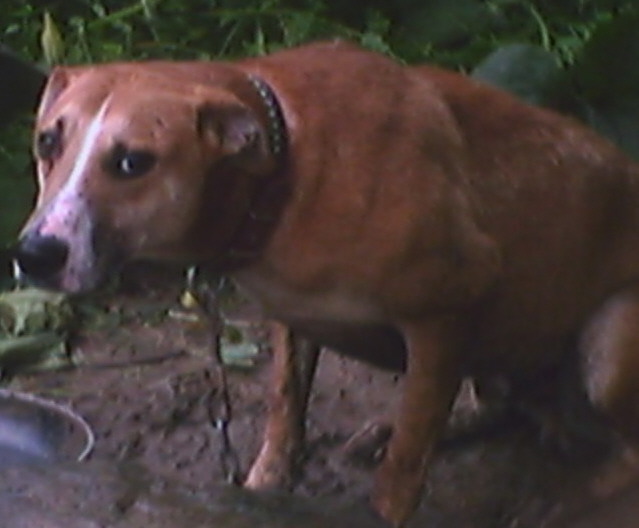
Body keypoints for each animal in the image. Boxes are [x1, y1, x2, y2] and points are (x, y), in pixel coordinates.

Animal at [13, 40, 639, 526]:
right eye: (48, 141)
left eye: (132, 162)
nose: (32, 254)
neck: (282, 170)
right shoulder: (294, 319)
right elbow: (285, 409)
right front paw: (264, 486)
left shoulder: (446, 313)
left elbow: (406, 466)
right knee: (497, 401)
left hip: (609, 345)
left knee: (626, 453)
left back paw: (566, 499)